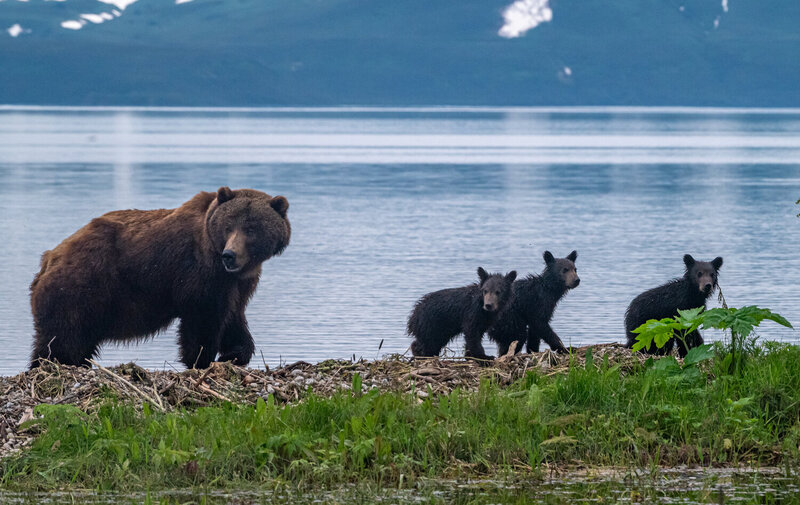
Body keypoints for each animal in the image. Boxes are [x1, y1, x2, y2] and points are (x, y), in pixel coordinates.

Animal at [29, 187, 290, 369]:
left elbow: (233, 315)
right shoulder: (199, 271)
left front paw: (233, 353)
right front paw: (202, 359)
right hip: (80, 289)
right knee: (62, 340)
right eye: (228, 226)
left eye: (251, 229)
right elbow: (202, 317)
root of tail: (49, 258)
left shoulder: (238, 283)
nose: (230, 255)